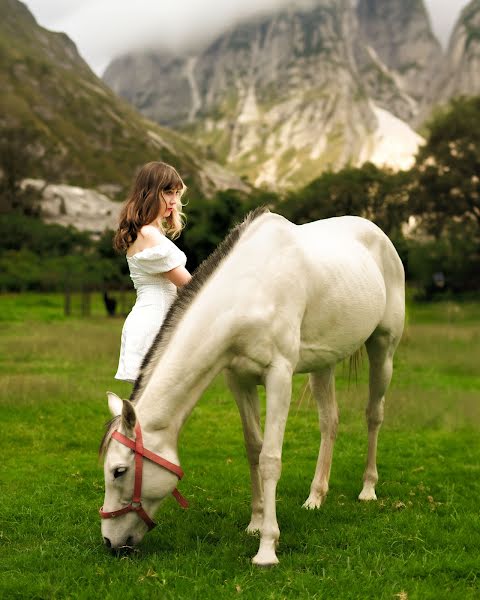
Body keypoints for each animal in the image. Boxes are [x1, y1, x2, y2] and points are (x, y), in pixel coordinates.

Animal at [98, 209, 404, 564]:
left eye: (119, 471)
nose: (109, 541)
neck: (250, 293)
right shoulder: (239, 380)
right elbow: (253, 449)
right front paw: (256, 524)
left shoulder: (279, 377)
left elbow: (271, 458)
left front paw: (267, 548)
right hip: (323, 364)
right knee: (330, 421)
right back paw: (315, 497)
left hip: (383, 348)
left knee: (373, 415)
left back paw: (368, 488)